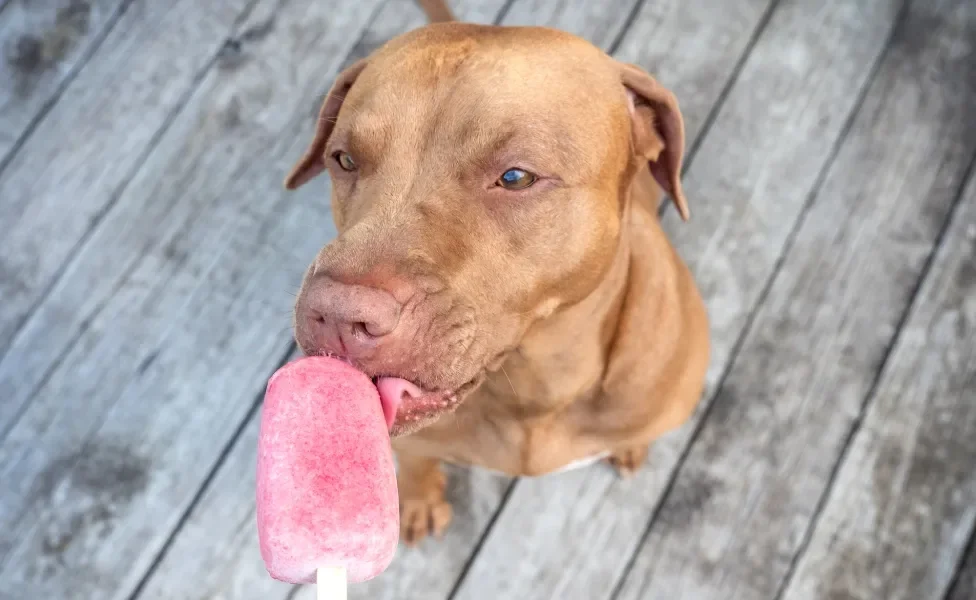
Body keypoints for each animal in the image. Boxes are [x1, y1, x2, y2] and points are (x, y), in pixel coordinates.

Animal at [286, 1, 704, 544]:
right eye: (344, 159)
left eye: (516, 177)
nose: (336, 314)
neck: (532, 388)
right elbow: (415, 461)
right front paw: (419, 499)